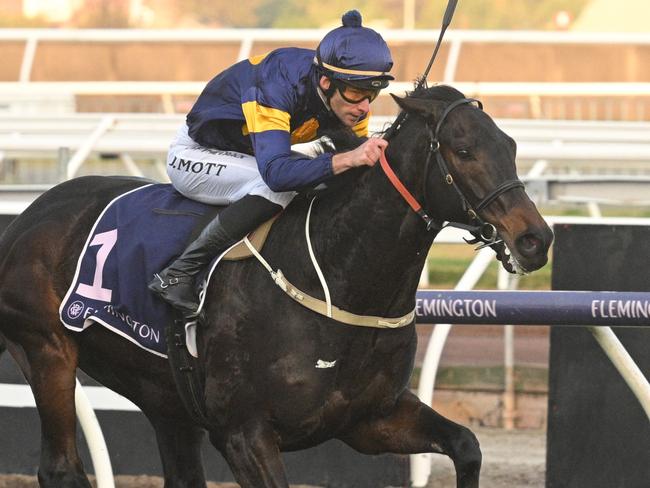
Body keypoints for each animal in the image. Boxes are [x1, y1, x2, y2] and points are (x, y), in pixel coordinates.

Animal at [0, 87, 552, 488]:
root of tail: (28, 216)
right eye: (464, 150)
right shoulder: (244, 433)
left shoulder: (370, 418)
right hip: (47, 349)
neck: (335, 277)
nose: (535, 239)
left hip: (163, 396)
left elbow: (466, 445)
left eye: (510, 146)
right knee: (60, 468)